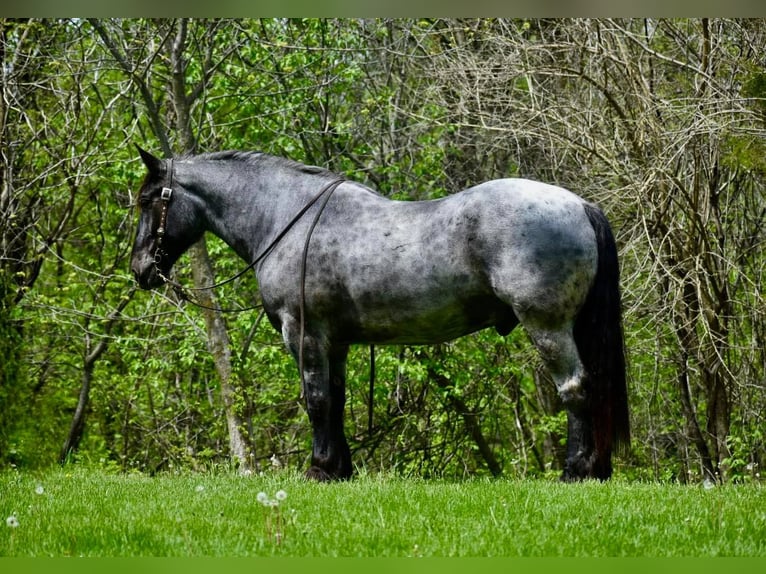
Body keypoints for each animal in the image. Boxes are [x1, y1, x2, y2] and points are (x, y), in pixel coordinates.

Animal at [130, 147, 632, 482]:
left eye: (149, 200)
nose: (140, 269)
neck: (284, 218)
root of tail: (579, 205)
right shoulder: (335, 342)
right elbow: (334, 400)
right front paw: (339, 469)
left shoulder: (304, 335)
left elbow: (315, 400)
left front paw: (318, 469)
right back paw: (597, 469)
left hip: (548, 327)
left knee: (575, 389)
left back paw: (577, 470)